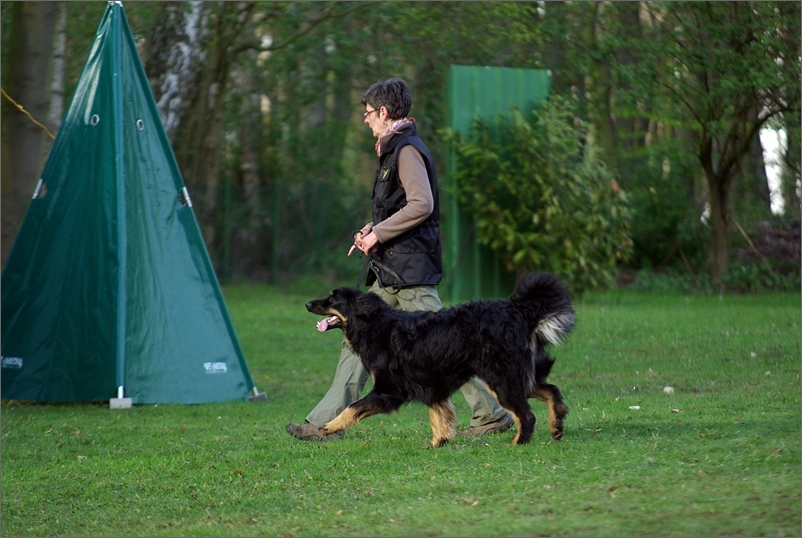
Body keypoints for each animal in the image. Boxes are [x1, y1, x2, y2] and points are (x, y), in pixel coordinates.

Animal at [304, 272, 572, 444]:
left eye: (332, 298)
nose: (307, 303)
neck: (375, 326)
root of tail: (518, 310)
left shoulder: (389, 390)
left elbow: (352, 406)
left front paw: (329, 426)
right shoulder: (430, 383)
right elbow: (438, 416)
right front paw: (439, 442)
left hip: (500, 378)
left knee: (526, 415)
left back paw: (519, 443)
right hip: (511, 375)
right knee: (550, 391)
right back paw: (556, 427)